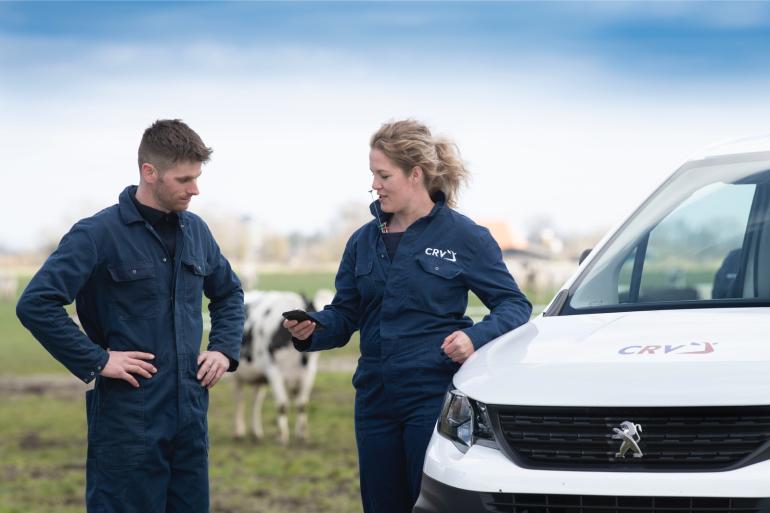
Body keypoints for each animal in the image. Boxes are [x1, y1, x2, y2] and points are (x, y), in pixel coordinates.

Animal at [231, 288, 332, 444]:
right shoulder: (274, 371)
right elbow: (282, 405)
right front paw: (282, 436)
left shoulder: (308, 373)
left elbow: (302, 405)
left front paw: (302, 435)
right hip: (237, 375)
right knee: (239, 399)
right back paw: (239, 431)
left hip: (258, 378)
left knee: (256, 402)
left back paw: (256, 432)